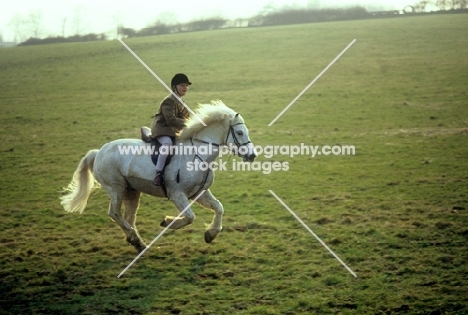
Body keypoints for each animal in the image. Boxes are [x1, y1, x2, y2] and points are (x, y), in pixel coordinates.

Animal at [60, 102, 256, 254]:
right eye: (239, 133)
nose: (252, 155)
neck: (197, 154)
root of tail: (99, 151)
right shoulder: (177, 194)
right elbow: (190, 217)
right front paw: (167, 222)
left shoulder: (199, 193)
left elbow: (219, 208)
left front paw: (210, 234)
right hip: (116, 188)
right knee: (114, 213)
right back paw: (135, 239)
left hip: (132, 191)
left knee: (128, 216)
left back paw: (137, 243)